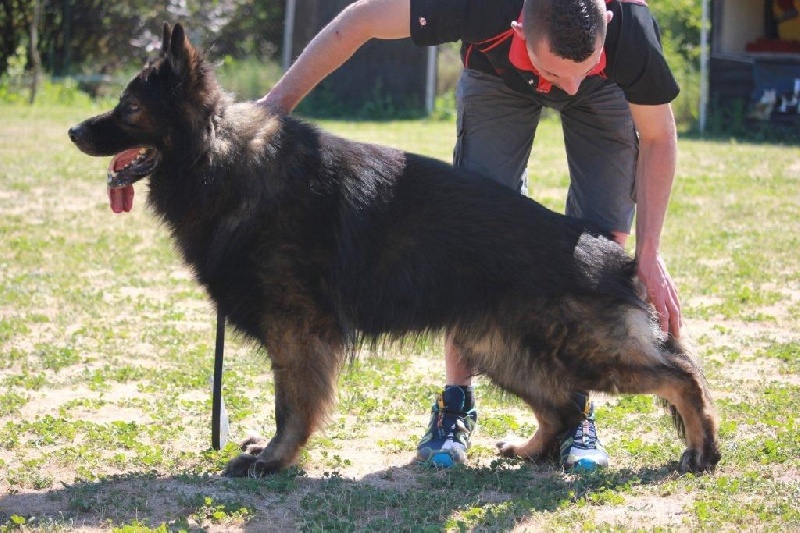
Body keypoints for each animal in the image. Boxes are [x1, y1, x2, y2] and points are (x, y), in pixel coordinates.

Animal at [67, 22, 720, 476]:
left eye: (129, 109)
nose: (73, 131)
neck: (219, 158)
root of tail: (619, 257)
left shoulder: (297, 332)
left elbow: (290, 407)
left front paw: (273, 460)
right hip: (505, 350)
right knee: (563, 407)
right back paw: (530, 448)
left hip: (581, 350)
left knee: (679, 375)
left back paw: (701, 448)